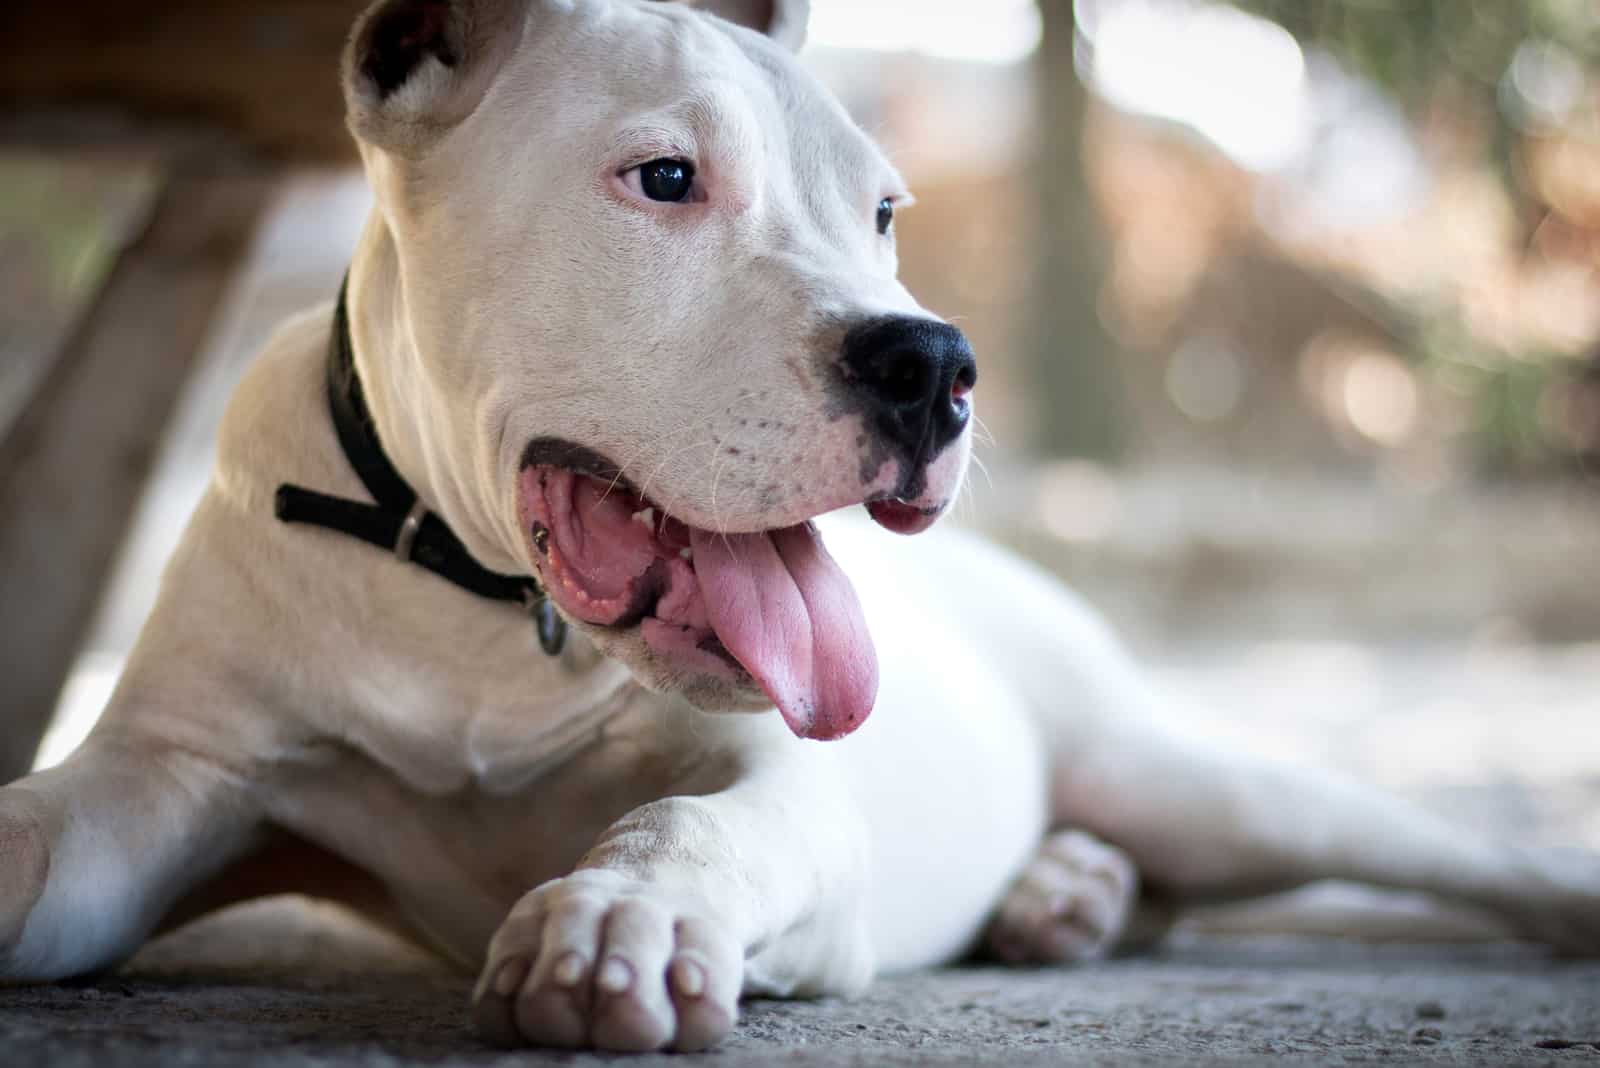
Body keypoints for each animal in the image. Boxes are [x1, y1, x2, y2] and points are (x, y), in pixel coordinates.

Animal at [3, 0, 1600, 1048]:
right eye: (664, 178)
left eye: (885, 212)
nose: (937, 365)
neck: (481, 618)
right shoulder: (165, 778)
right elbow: (47, 835)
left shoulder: (786, 787)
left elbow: (692, 823)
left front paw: (621, 919)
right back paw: (1066, 898)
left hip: (1201, 779)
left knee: (1432, 857)